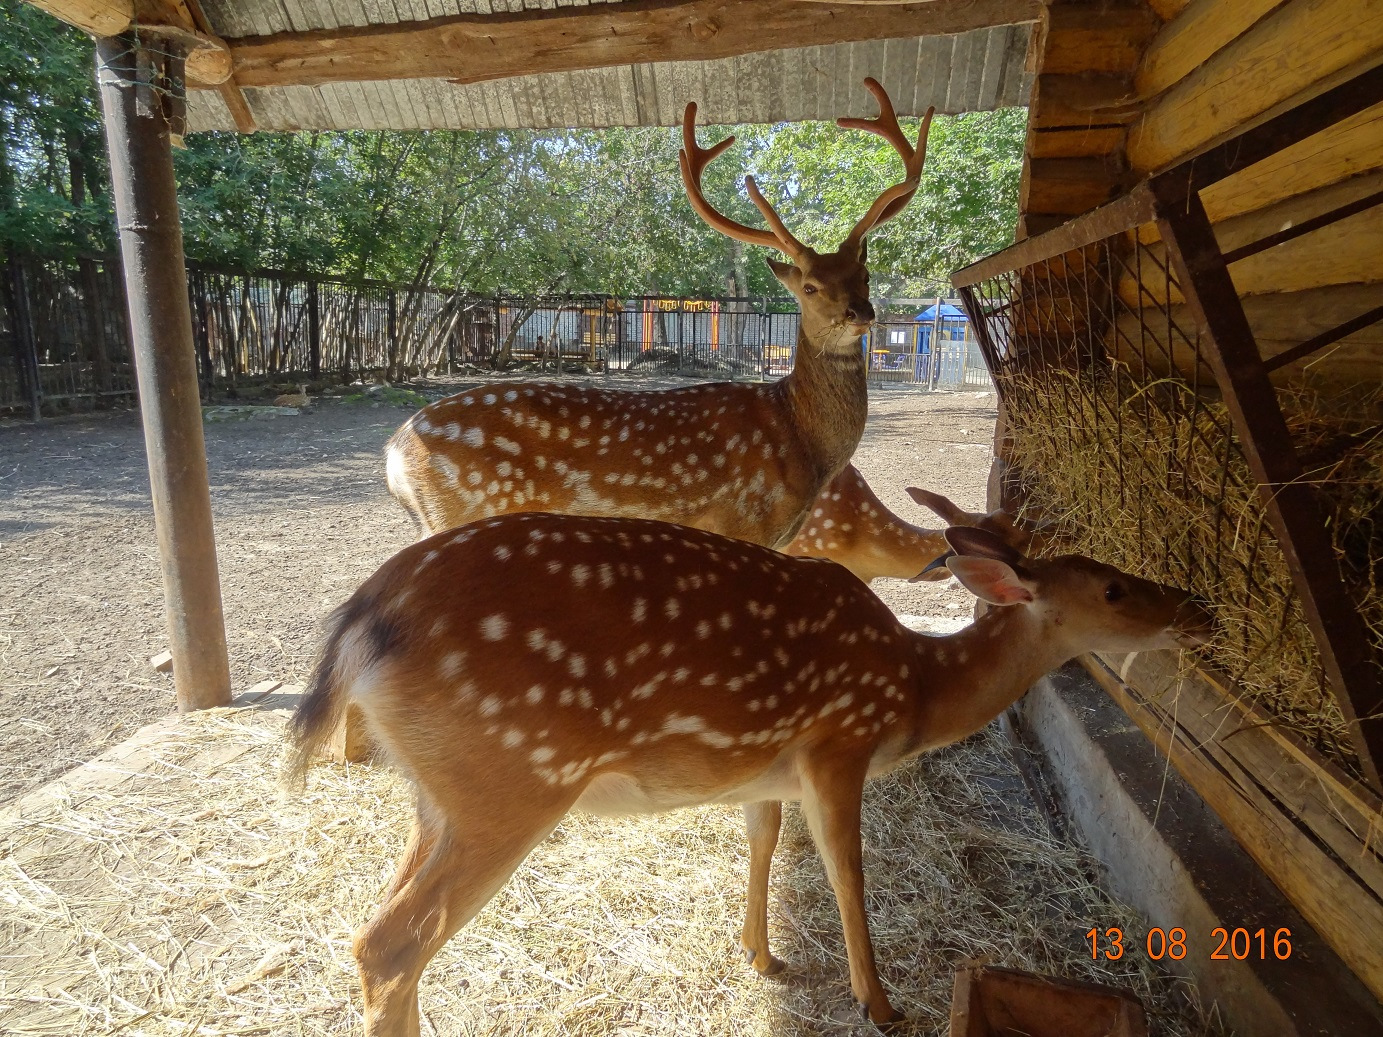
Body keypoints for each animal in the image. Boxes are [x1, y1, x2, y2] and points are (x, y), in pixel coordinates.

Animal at [291, 517, 1211, 1034]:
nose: (1193, 605)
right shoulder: (840, 743)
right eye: (1113, 586)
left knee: (383, 931)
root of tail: (359, 624)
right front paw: (879, 1004)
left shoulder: (770, 774)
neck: (914, 689)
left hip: (439, 792)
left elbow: (765, 844)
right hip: (510, 777)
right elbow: (846, 873)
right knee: (387, 942)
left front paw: (761, 955)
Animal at [384, 79, 934, 553]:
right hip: (466, 505)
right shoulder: (744, 522)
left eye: (865, 274)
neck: (802, 442)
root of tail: (393, 453)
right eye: (811, 286)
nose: (862, 311)